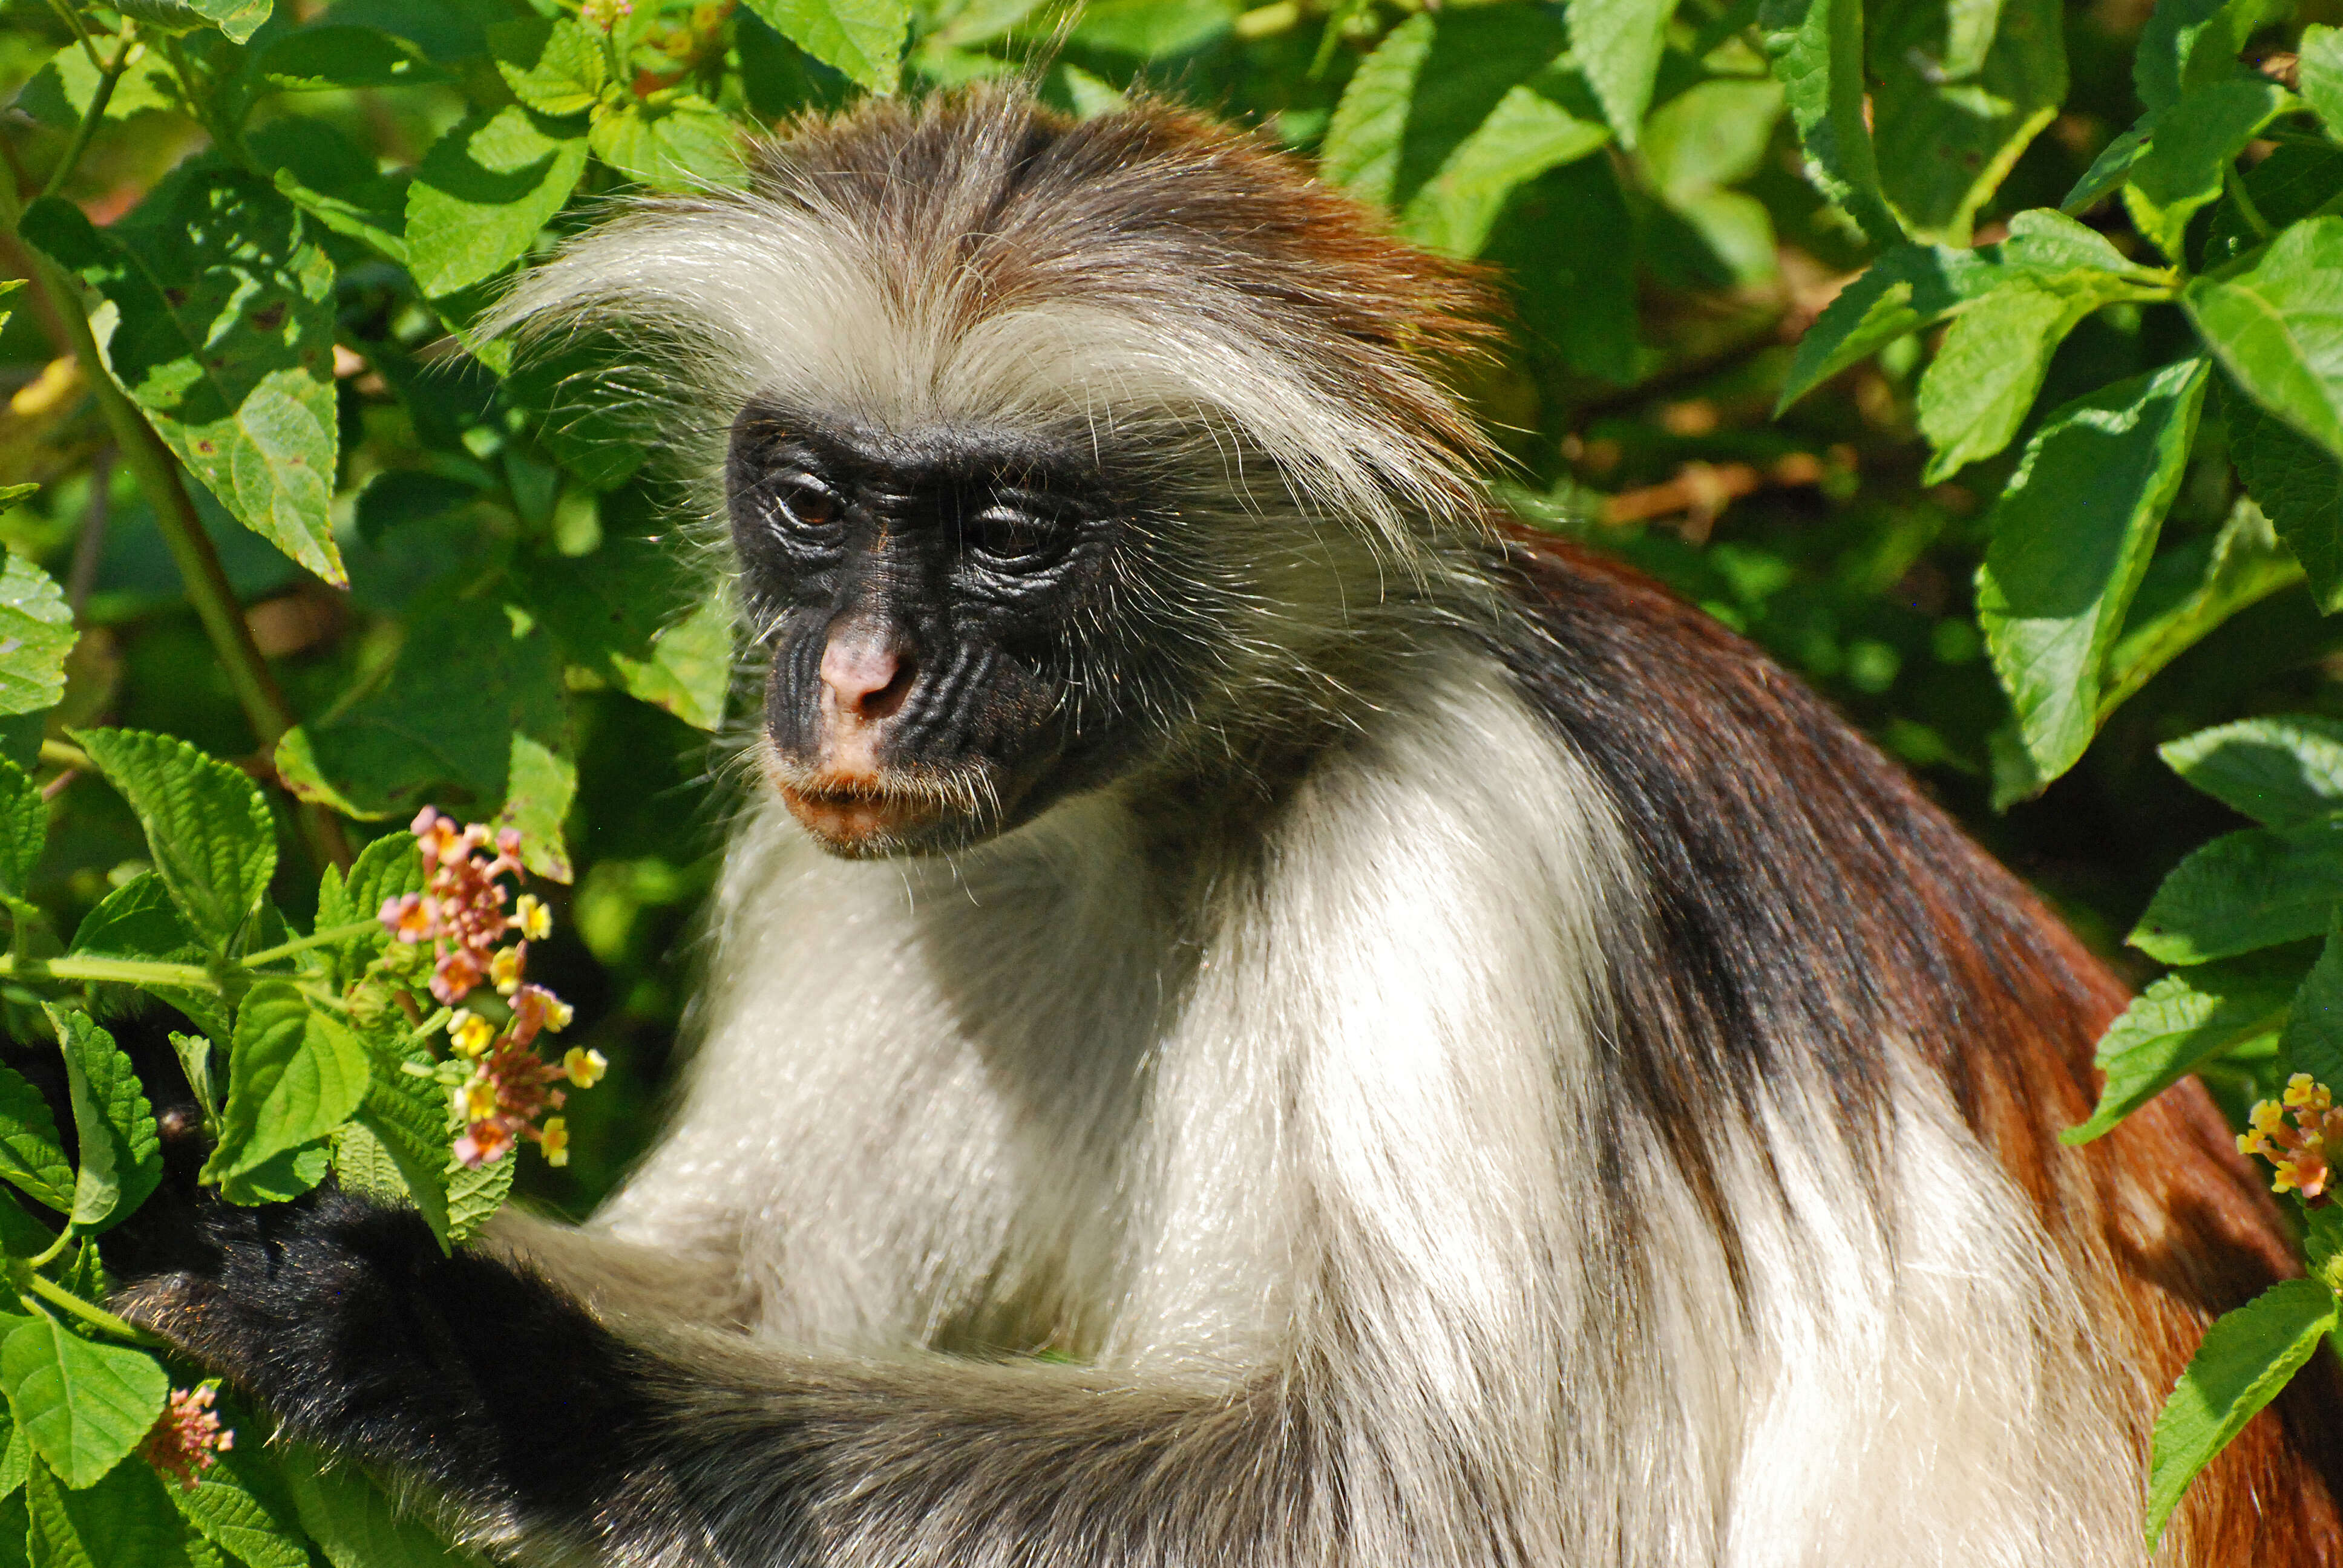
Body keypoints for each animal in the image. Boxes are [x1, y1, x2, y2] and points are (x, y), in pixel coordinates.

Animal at [114, 88, 2343, 1566]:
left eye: (1010, 537)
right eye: (813, 503)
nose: (851, 681)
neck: (1195, 792)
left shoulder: (1464, 829)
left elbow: (1398, 1509)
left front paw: (473, 1366)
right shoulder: (926, 859)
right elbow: (735, 1282)